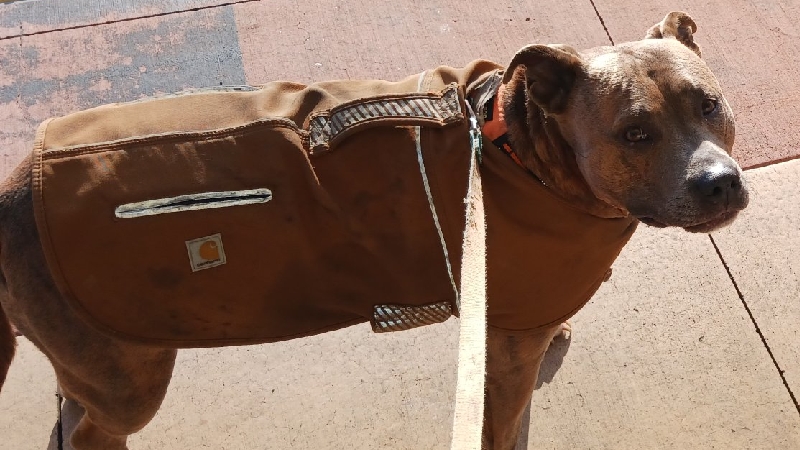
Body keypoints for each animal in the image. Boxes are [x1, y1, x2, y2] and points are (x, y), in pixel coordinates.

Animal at [0, 11, 749, 450]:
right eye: (635, 133)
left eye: (710, 104)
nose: (720, 182)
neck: (523, 149)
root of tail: (12, 187)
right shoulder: (507, 359)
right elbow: (505, 425)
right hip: (129, 375)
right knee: (90, 431)